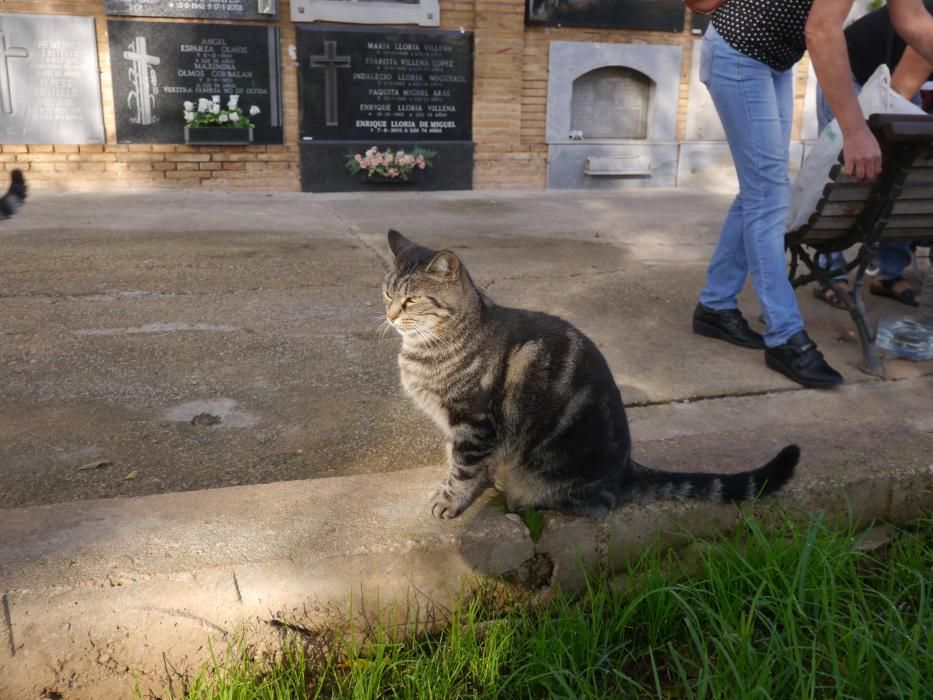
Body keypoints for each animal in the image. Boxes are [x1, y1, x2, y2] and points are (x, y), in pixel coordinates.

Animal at [382, 231, 796, 520]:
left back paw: (521, 500)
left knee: (596, 506)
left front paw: (449, 500)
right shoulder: (463, 430)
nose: (389, 315)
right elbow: (460, 462)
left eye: (412, 300)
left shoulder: (473, 425)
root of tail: (626, 469)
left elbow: (463, 470)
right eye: (386, 293)